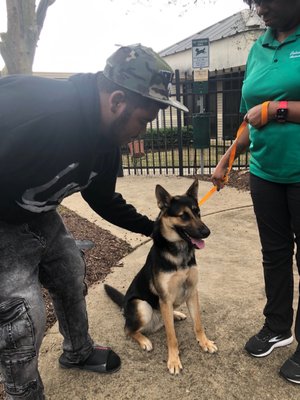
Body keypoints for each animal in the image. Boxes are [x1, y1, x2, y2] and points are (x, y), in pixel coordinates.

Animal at [104, 180, 217, 374]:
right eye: (183, 216)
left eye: (197, 212)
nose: (207, 232)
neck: (179, 251)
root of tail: (124, 306)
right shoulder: (164, 298)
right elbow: (171, 336)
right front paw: (173, 360)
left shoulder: (192, 292)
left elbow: (198, 324)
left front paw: (204, 342)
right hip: (142, 306)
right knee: (128, 329)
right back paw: (144, 340)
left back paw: (176, 314)